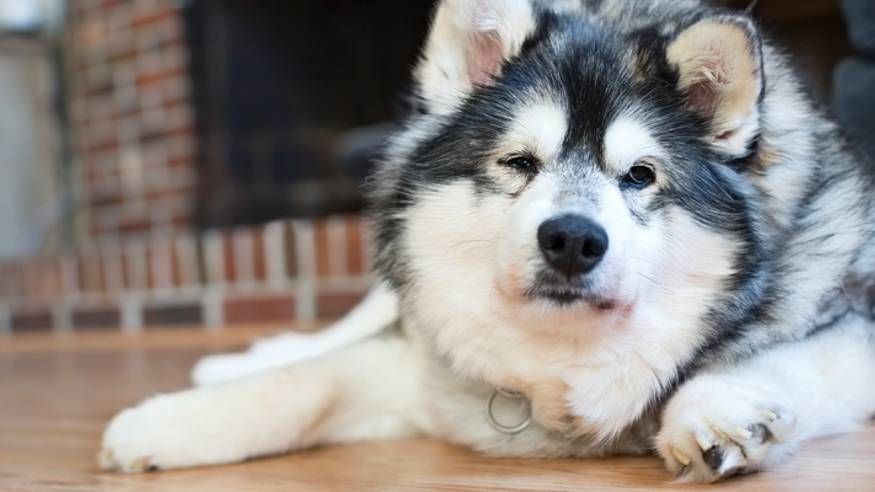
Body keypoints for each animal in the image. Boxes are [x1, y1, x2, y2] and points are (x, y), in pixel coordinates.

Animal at [102, 0, 875, 484]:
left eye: (640, 175)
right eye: (519, 162)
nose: (571, 240)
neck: (561, 365)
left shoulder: (851, 320)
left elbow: (770, 357)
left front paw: (713, 411)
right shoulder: (425, 369)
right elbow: (309, 382)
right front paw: (163, 424)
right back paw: (237, 360)